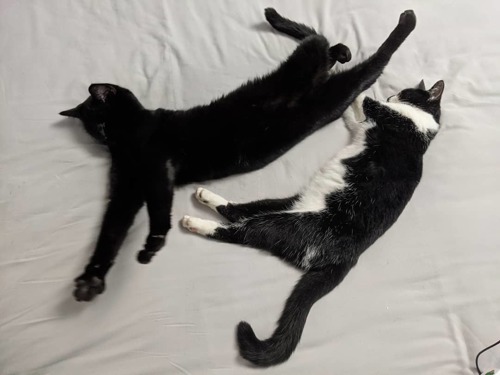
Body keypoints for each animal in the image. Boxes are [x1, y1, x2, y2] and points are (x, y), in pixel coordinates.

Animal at [59, 8, 418, 302]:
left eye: (101, 123)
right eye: (94, 130)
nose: (103, 139)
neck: (131, 134)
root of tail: (316, 86)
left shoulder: (159, 168)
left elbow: (159, 210)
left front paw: (152, 245)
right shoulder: (127, 190)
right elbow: (111, 232)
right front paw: (91, 280)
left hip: (320, 77)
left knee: (346, 50)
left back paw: (402, 21)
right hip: (329, 92)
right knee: (331, 51)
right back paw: (342, 49)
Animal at [181, 80, 446, 368]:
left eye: (406, 92)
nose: (392, 96)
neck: (425, 125)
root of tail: (347, 259)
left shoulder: (389, 116)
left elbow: (367, 101)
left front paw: (363, 87)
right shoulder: (362, 127)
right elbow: (355, 118)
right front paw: (347, 106)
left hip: (284, 223)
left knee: (238, 231)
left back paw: (194, 222)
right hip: (278, 205)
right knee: (236, 212)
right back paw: (206, 196)